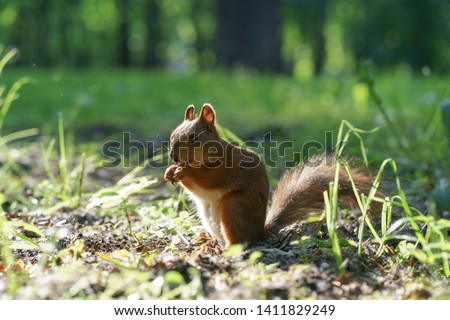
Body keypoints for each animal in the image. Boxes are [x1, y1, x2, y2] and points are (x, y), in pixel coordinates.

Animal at [165, 104, 376, 246]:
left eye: (193, 137)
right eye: (173, 134)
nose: (173, 156)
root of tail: (260, 232)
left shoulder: (227, 168)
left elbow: (209, 179)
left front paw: (185, 170)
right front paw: (170, 172)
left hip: (234, 206)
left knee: (240, 241)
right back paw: (207, 240)